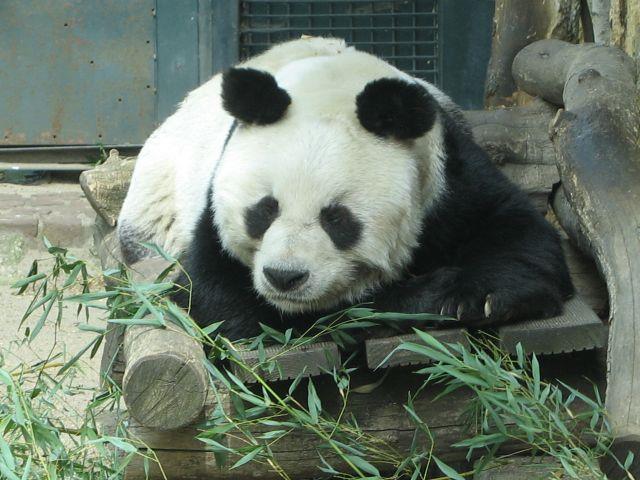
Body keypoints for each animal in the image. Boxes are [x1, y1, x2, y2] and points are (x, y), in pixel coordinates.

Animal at [119, 37, 576, 340]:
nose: (284, 277)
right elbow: (224, 302)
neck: (330, 84)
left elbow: (520, 232)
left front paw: (476, 295)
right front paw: (427, 293)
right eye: (264, 210)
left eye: (337, 219)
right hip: (155, 206)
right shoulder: (213, 206)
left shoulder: (447, 174)